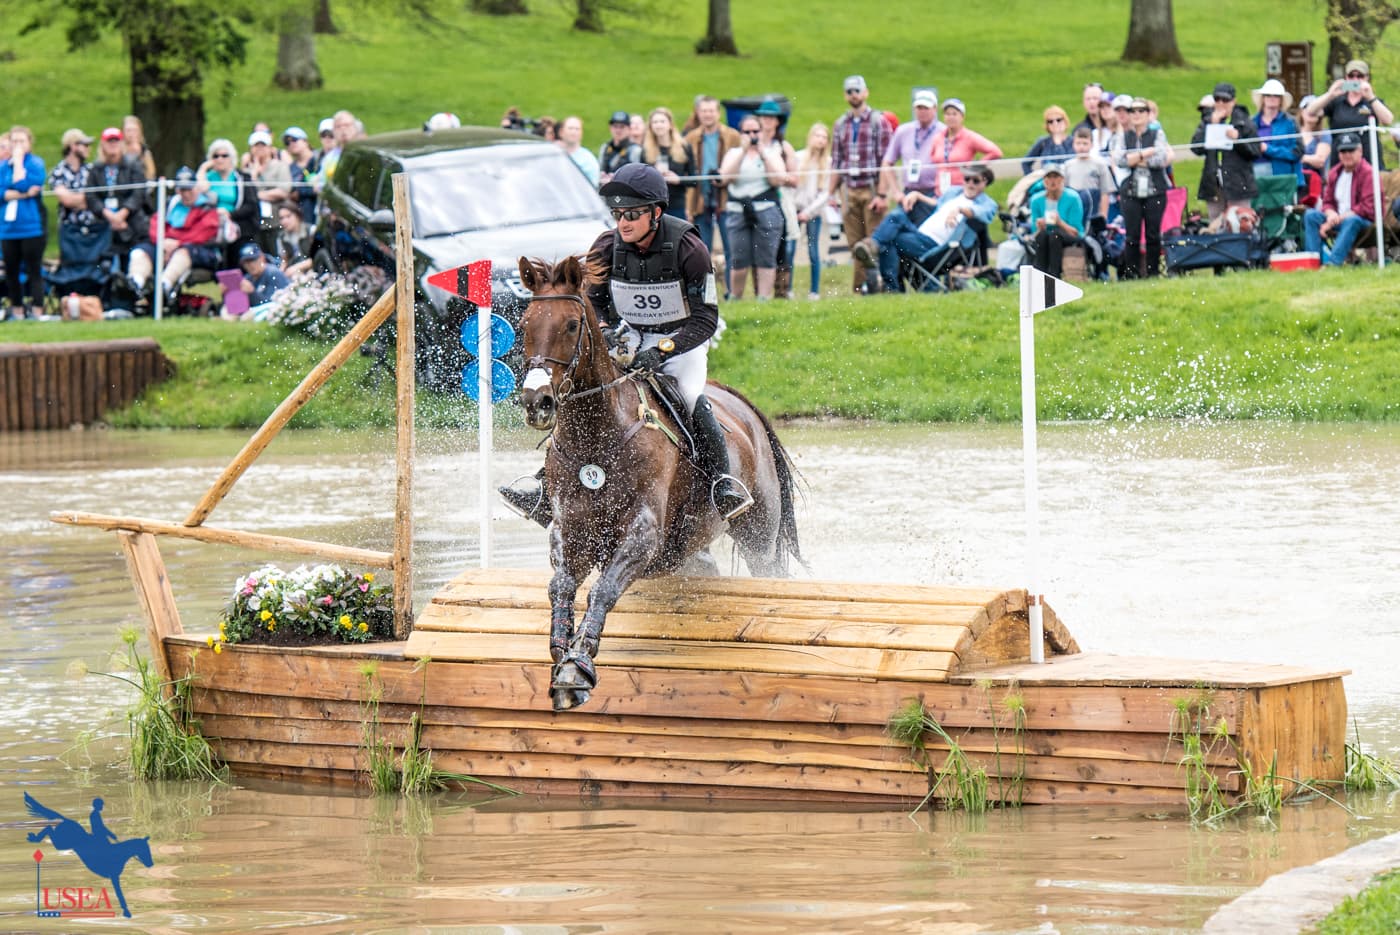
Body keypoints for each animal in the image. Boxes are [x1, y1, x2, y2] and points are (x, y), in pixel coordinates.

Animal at [516, 255, 802, 711]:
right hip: (691, 550)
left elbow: (603, 590)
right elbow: (561, 585)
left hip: (758, 535)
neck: (598, 437)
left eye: (572, 325)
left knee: (771, 571)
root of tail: (743, 406)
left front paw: (578, 668)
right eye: (524, 323)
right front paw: (562, 654)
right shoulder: (570, 530)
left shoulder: (643, 535)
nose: (537, 403)